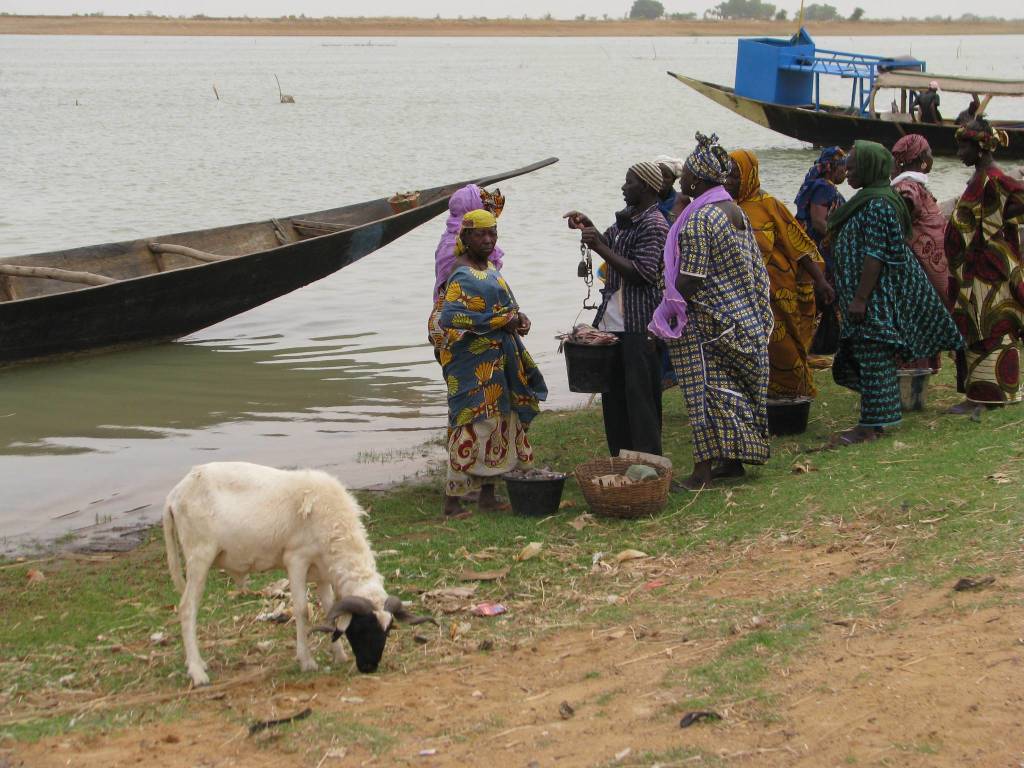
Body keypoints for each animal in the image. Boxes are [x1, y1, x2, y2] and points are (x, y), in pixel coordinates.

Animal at [162, 460, 432, 688]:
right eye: (361, 627)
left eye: (387, 630)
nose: (369, 667)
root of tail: (175, 494)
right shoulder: (296, 560)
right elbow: (302, 610)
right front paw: (307, 661)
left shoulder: (323, 572)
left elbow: (329, 609)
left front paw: (339, 655)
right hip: (199, 554)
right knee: (187, 608)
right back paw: (197, 673)